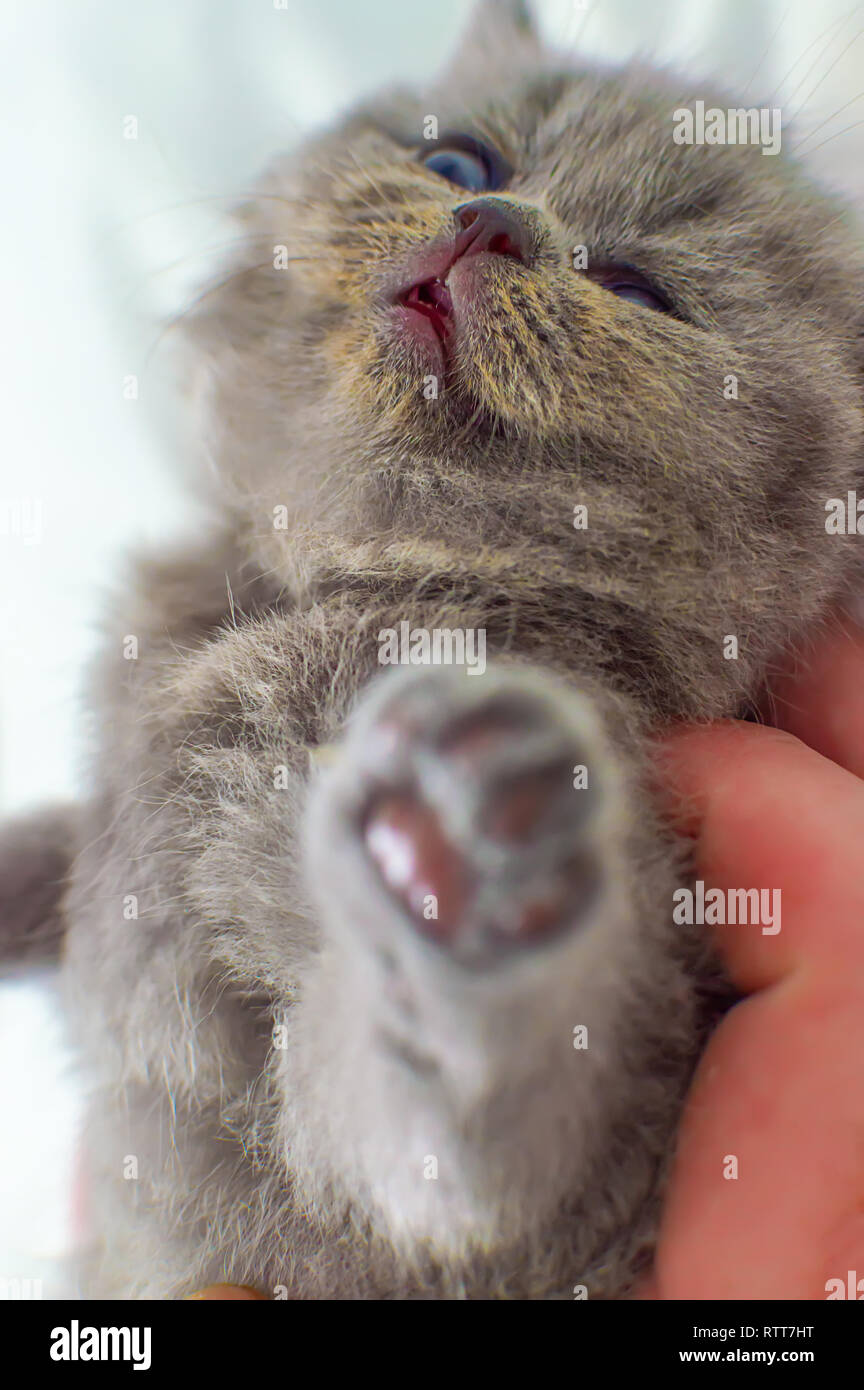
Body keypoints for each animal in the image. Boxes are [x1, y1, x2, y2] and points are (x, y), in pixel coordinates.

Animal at [5, 2, 864, 1301]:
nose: (491, 222)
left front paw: (457, 866)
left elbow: (457, 1156)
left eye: (637, 287)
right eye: (459, 160)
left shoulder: (598, 1177)